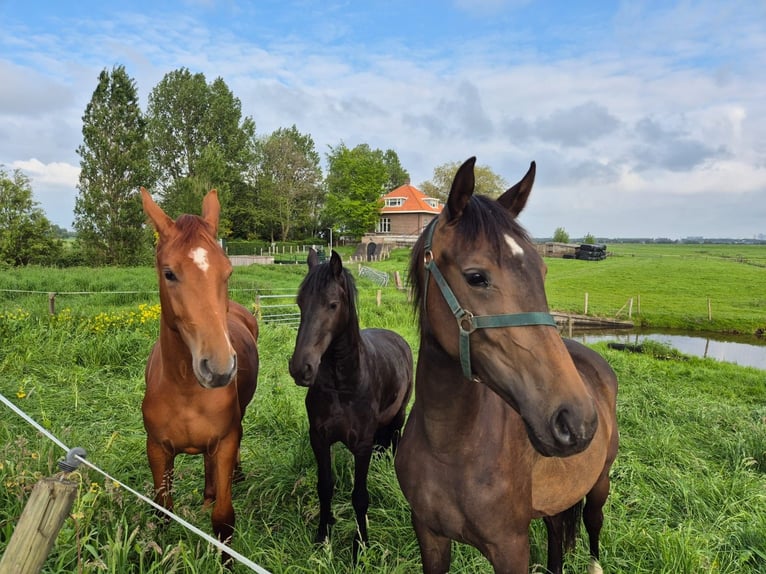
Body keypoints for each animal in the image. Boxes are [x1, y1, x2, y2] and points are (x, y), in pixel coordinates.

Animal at [138, 190, 258, 564]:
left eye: (227, 272)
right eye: (169, 273)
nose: (218, 368)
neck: (184, 389)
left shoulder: (226, 441)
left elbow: (223, 518)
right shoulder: (156, 449)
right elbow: (163, 510)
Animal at [392, 159, 620, 574]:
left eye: (542, 271)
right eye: (476, 277)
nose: (576, 421)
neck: (449, 448)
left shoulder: (510, 547)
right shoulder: (429, 536)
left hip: (600, 484)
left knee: (594, 527)